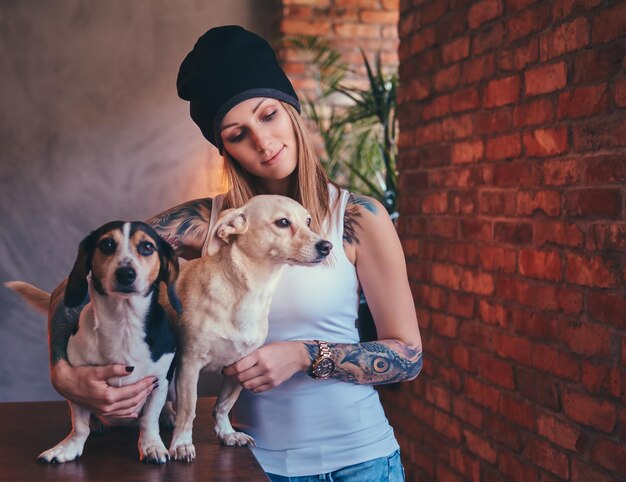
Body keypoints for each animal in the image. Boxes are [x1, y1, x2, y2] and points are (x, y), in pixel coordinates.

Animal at [6, 221, 180, 464]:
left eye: (147, 246)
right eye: (106, 244)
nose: (126, 273)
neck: (123, 324)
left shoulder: (159, 382)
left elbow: (149, 419)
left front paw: (152, 446)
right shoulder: (79, 387)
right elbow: (79, 426)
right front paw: (68, 448)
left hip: (171, 387)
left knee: (166, 405)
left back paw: (168, 415)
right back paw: (96, 422)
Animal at [165, 194, 332, 462]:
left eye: (308, 221)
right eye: (283, 222)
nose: (327, 246)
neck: (250, 292)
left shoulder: (240, 366)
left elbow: (224, 405)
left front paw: (227, 433)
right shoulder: (189, 364)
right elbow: (188, 409)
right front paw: (181, 443)